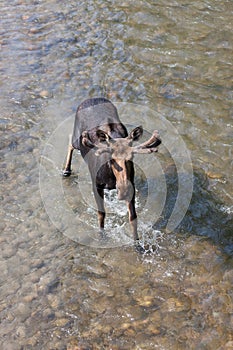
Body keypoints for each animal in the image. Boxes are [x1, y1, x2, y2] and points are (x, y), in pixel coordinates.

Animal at [62, 98, 161, 252]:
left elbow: (133, 217)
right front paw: (102, 236)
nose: (124, 189)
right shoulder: (96, 185)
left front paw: (137, 243)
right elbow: (101, 213)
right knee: (70, 143)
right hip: (77, 139)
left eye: (131, 157)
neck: (111, 177)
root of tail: (91, 99)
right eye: (111, 158)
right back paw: (66, 170)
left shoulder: (132, 186)